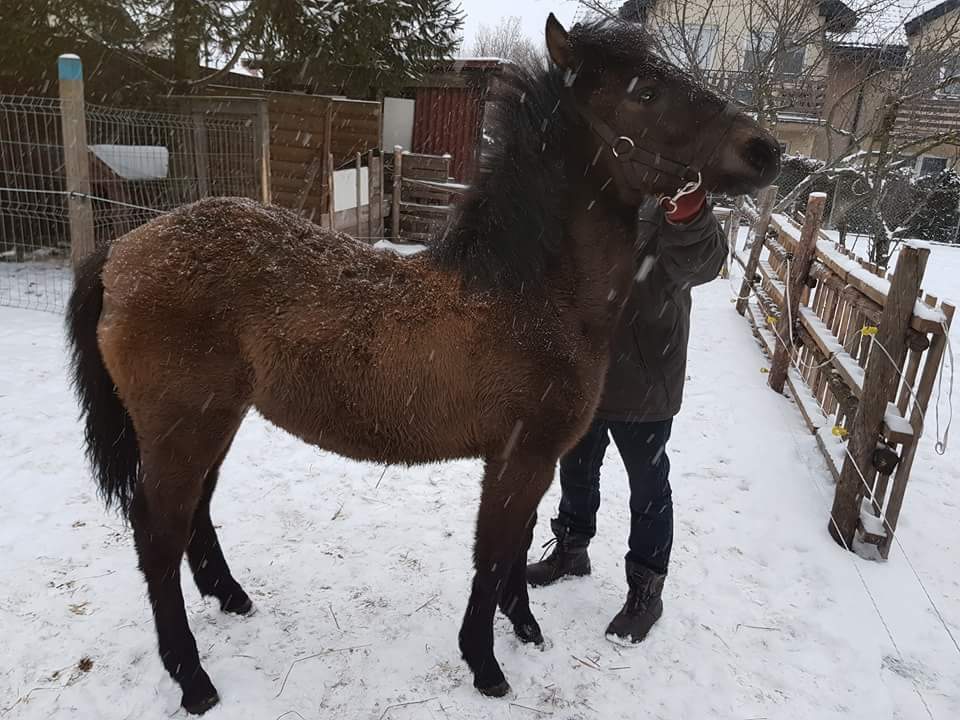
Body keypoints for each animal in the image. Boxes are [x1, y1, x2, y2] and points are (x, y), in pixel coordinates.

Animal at [65, 15, 780, 716]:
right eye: (645, 92)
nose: (764, 150)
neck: (530, 293)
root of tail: (122, 249)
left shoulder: (536, 459)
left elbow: (517, 546)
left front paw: (525, 627)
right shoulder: (519, 456)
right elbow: (491, 554)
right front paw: (486, 666)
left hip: (216, 422)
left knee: (197, 515)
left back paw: (233, 599)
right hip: (183, 429)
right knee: (159, 533)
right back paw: (194, 680)